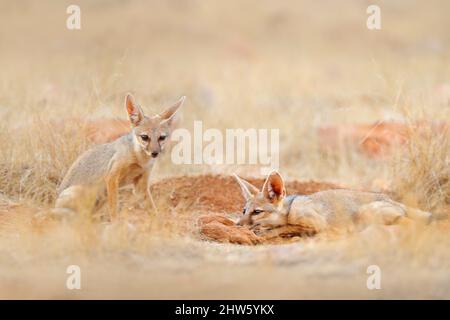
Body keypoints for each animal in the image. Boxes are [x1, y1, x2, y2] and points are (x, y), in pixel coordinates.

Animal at [55, 94, 185, 219]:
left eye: (162, 137)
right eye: (144, 137)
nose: (155, 153)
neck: (140, 159)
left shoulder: (141, 186)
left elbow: (153, 209)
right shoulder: (112, 177)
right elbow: (114, 208)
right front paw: (116, 223)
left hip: (100, 198)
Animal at [234, 171, 430, 236]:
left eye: (257, 212)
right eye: (244, 211)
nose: (237, 226)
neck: (290, 209)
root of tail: (390, 198)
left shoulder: (317, 224)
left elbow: (285, 227)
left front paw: (264, 231)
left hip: (366, 213)